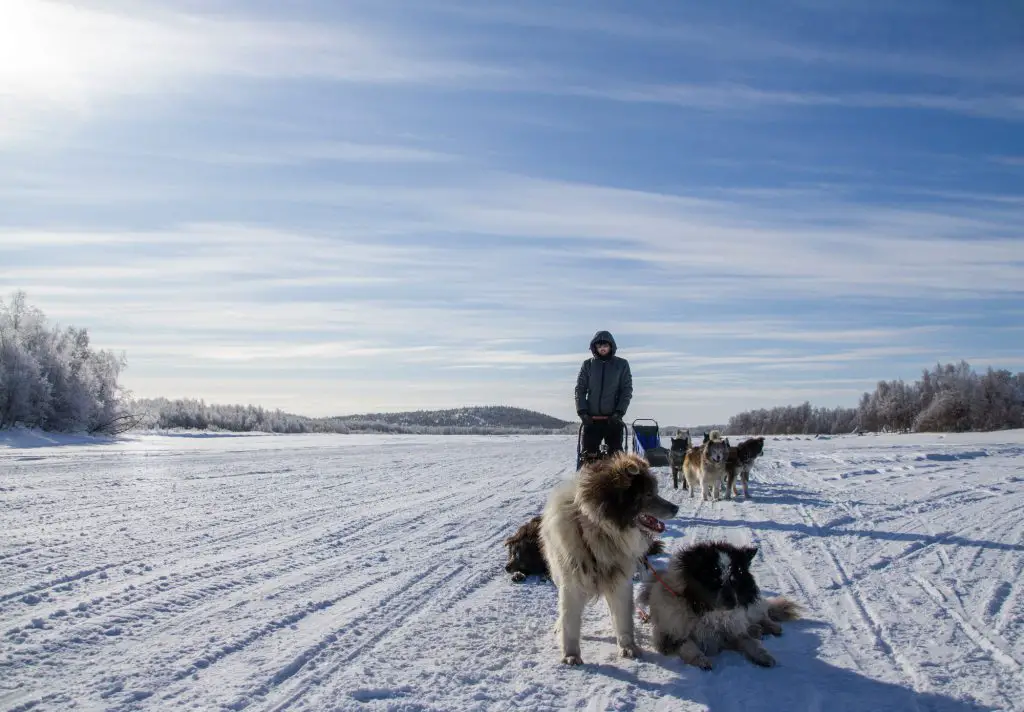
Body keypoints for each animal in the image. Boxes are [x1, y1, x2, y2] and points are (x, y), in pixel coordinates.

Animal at [536, 454, 679, 663]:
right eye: (648, 494)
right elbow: (569, 622)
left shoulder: (620, 583)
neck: (599, 532)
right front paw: (571, 655)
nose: (676, 508)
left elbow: (623, 619)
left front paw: (628, 647)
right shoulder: (571, 585)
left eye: (655, 491)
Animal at [638, 545, 798, 672]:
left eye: (735, 580)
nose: (733, 603)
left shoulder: (730, 631)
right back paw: (757, 630)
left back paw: (772, 627)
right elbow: (688, 646)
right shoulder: (668, 636)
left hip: (751, 610)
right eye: (714, 580)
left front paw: (764, 656)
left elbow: (749, 642)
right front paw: (702, 661)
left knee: (762, 614)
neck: (705, 610)